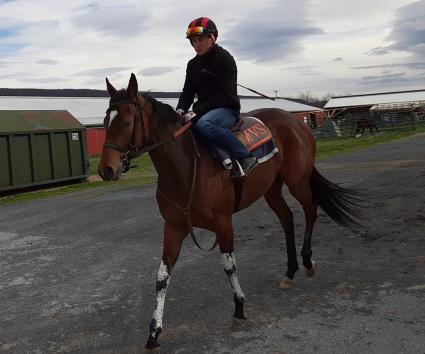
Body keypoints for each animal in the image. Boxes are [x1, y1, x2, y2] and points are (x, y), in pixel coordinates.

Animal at [98, 73, 362, 350]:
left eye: (126, 122)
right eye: (105, 122)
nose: (106, 170)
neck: (186, 168)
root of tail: (295, 121)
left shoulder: (223, 223)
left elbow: (228, 264)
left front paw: (239, 306)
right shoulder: (174, 227)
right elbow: (162, 275)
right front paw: (154, 332)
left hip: (297, 181)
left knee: (310, 210)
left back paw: (308, 262)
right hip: (272, 188)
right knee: (287, 219)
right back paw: (290, 272)